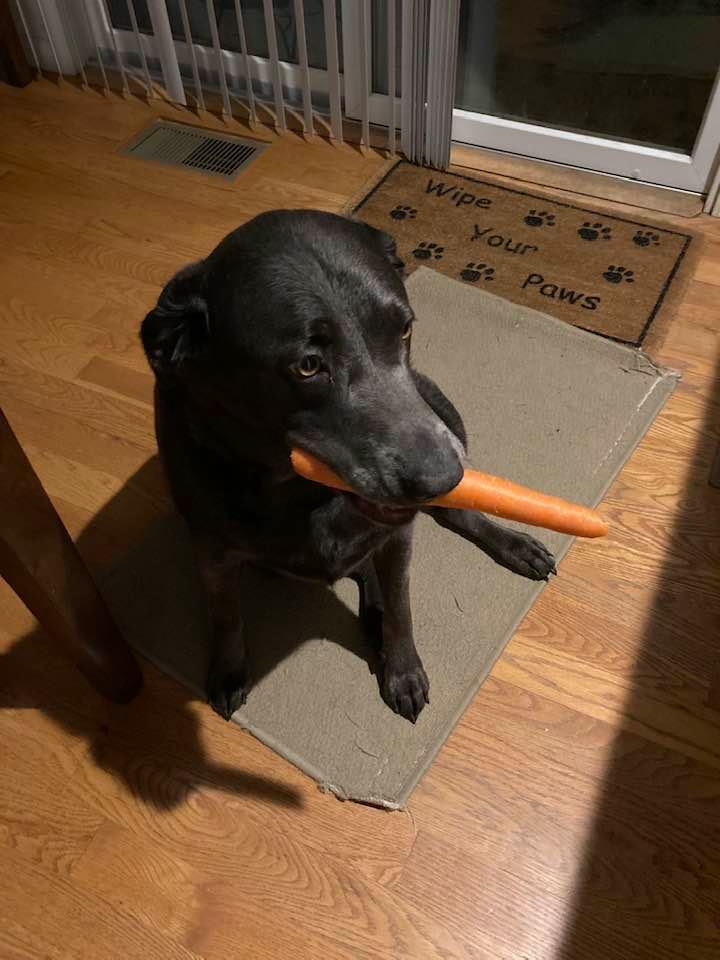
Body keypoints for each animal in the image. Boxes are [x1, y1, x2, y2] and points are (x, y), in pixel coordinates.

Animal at [141, 210, 556, 720]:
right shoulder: (211, 549)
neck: (300, 492)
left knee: (452, 517)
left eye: (405, 330)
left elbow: (402, 608)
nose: (443, 477)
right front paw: (228, 672)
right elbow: (225, 614)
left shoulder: (399, 535)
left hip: (441, 406)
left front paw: (403, 671)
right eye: (307, 365)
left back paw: (515, 547)